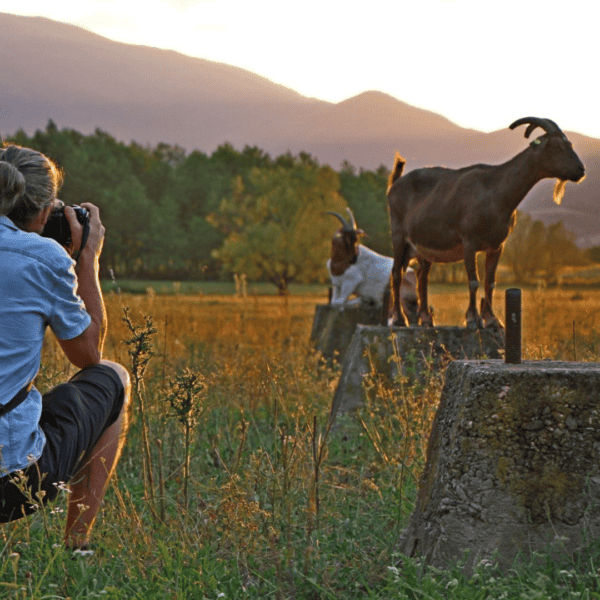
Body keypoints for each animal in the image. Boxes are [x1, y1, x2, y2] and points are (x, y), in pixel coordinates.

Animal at [384, 116, 584, 328]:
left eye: (569, 144)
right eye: (556, 146)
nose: (581, 170)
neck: (497, 192)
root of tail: (394, 185)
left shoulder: (497, 245)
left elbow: (490, 281)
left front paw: (492, 319)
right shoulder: (469, 241)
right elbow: (474, 280)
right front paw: (473, 318)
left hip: (423, 248)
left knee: (422, 277)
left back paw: (426, 319)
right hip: (399, 235)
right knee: (396, 274)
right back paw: (398, 318)